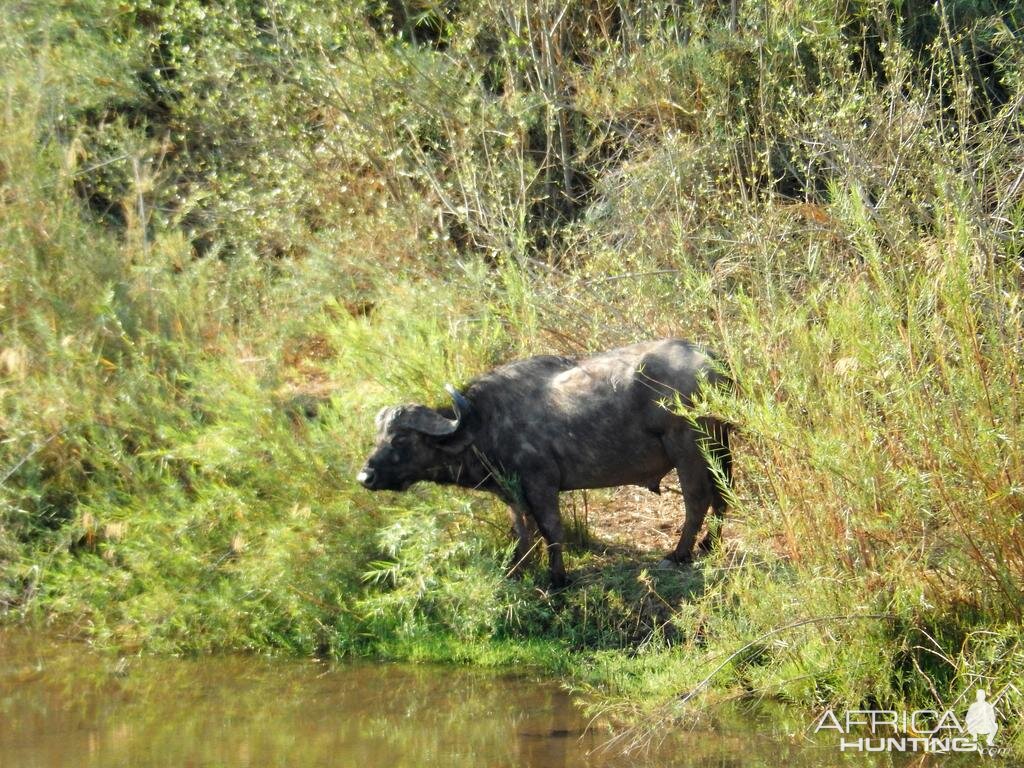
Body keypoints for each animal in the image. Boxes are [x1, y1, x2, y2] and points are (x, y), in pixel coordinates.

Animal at [356, 339, 733, 585]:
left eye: (401, 439)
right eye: (377, 436)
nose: (365, 477)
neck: (482, 423)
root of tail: (713, 361)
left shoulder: (541, 483)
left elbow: (551, 528)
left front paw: (557, 577)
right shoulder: (513, 493)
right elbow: (522, 531)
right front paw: (515, 570)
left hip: (687, 445)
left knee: (697, 498)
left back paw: (679, 554)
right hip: (719, 447)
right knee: (722, 494)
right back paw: (708, 544)